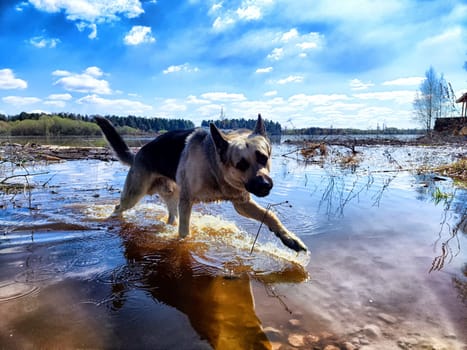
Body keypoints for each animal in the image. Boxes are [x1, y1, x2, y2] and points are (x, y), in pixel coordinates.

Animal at [95, 116, 308, 253]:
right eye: (241, 164)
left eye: (263, 158)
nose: (265, 185)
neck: (214, 167)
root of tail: (138, 153)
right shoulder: (187, 202)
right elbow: (184, 231)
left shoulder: (242, 203)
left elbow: (270, 215)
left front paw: (289, 238)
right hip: (134, 194)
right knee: (118, 206)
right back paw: (112, 219)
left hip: (172, 196)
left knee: (172, 217)